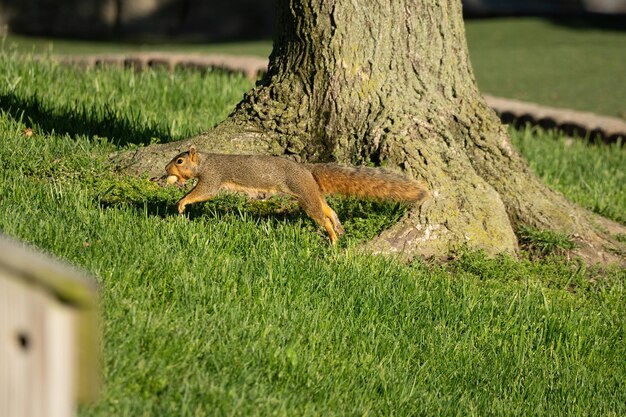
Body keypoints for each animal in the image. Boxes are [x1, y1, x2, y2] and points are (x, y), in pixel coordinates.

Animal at [165, 146, 428, 244]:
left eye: (179, 161)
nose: (166, 170)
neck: (204, 161)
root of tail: (305, 170)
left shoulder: (212, 177)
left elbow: (203, 193)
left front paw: (181, 204)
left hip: (304, 194)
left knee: (321, 217)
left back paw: (333, 237)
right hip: (311, 192)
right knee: (328, 209)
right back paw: (339, 227)